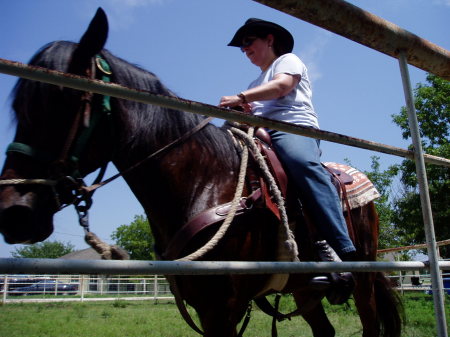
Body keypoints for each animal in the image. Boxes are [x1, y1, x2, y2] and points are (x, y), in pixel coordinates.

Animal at [0, 7, 400, 336]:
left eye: (64, 99)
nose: (14, 213)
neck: (204, 182)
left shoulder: (221, 308)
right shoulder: (204, 304)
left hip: (363, 278)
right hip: (304, 289)